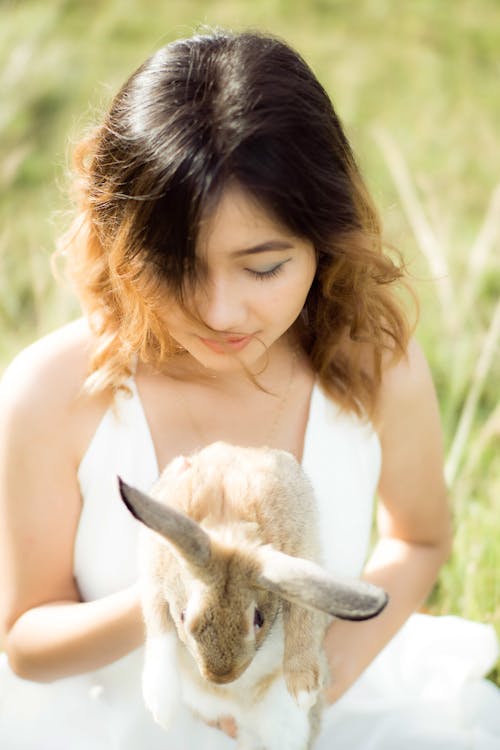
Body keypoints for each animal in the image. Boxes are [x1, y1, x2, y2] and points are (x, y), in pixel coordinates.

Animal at [117, 440, 386, 750]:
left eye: (259, 620)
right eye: (184, 618)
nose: (220, 677)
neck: (229, 523)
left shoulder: (303, 555)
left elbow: (303, 620)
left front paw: (304, 690)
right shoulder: (153, 573)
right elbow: (159, 628)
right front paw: (161, 706)